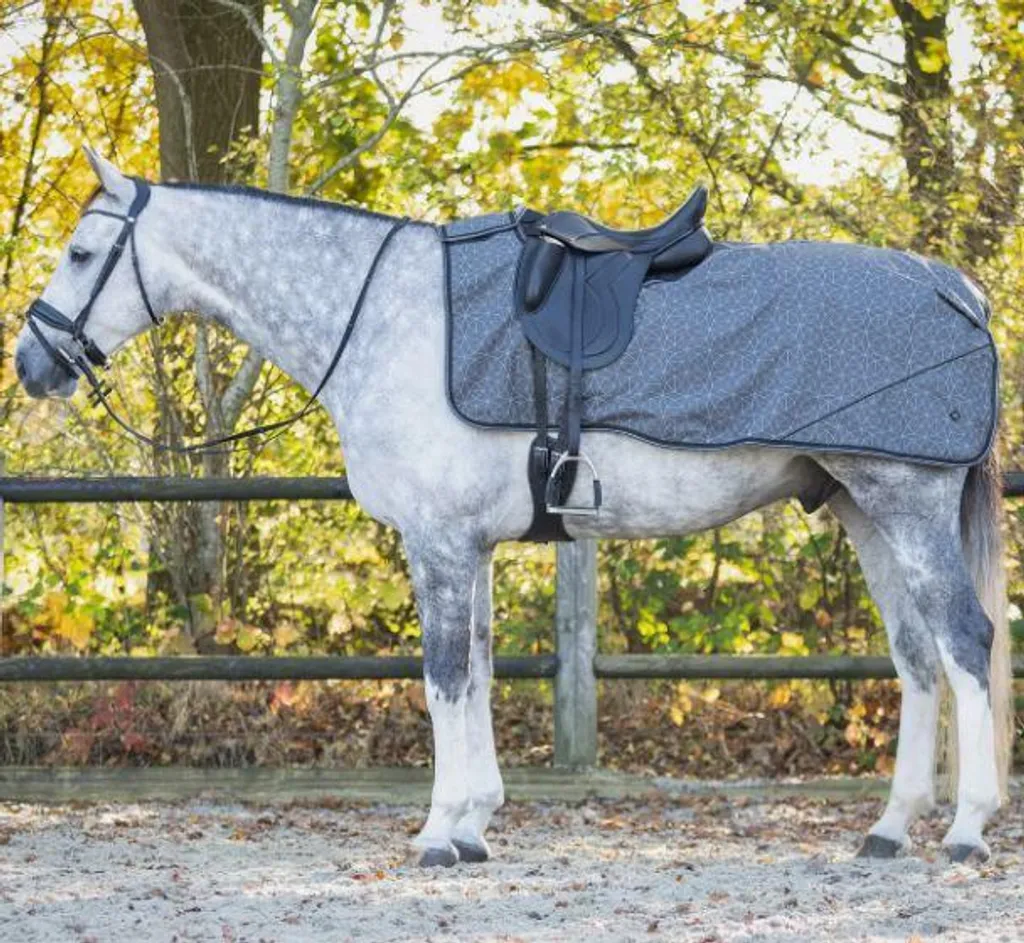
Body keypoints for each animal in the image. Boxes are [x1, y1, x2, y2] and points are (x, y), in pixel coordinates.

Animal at [13, 147, 1012, 867]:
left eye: (81, 253)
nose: (30, 364)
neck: (384, 316)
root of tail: (952, 285)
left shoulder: (439, 543)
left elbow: (444, 678)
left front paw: (436, 833)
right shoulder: (472, 547)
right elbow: (484, 671)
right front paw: (475, 823)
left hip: (906, 503)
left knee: (964, 641)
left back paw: (966, 828)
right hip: (863, 510)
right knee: (916, 655)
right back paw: (889, 828)